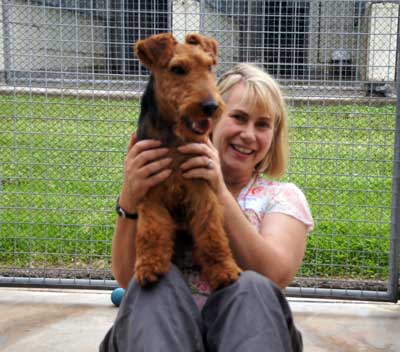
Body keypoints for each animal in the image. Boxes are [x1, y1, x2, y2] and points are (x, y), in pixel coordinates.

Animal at [132, 33, 241, 292]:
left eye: (209, 66)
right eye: (177, 69)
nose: (211, 106)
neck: (173, 137)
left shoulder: (201, 187)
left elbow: (212, 233)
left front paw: (224, 269)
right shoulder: (150, 189)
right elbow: (150, 231)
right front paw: (149, 266)